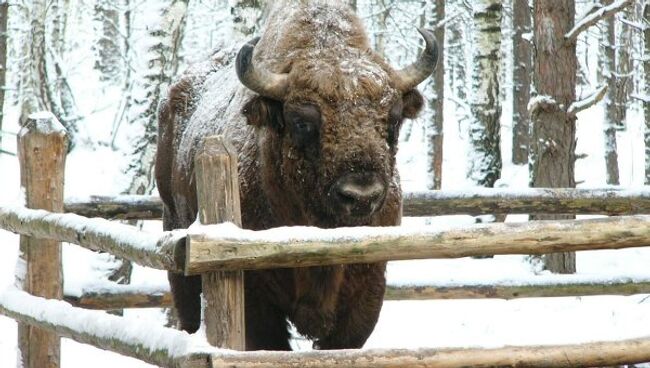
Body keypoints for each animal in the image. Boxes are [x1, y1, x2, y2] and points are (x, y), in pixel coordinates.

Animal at [154, 0, 436, 350]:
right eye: (302, 121)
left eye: (394, 120)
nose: (361, 195)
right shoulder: (256, 296)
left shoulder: (367, 288)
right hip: (175, 232)